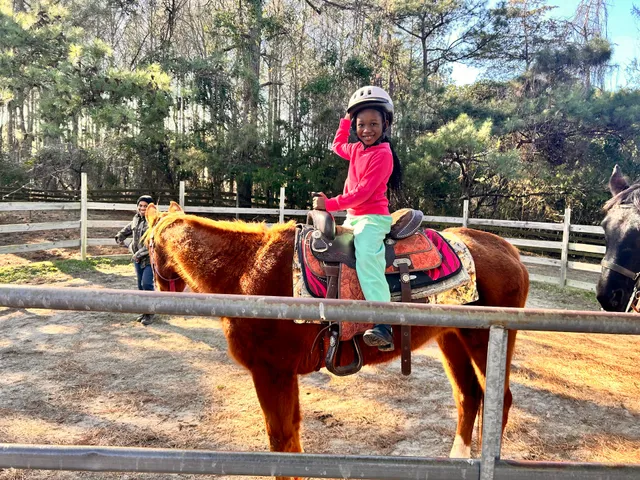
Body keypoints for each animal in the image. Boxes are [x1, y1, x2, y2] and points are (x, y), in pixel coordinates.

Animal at [145, 202, 529, 477]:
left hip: (487, 341)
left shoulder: (271, 372)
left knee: (500, 400)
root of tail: (509, 250)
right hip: (453, 339)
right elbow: (291, 440)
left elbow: (281, 442)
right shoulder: (281, 375)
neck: (245, 269)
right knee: (469, 396)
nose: (160, 290)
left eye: (147, 243)